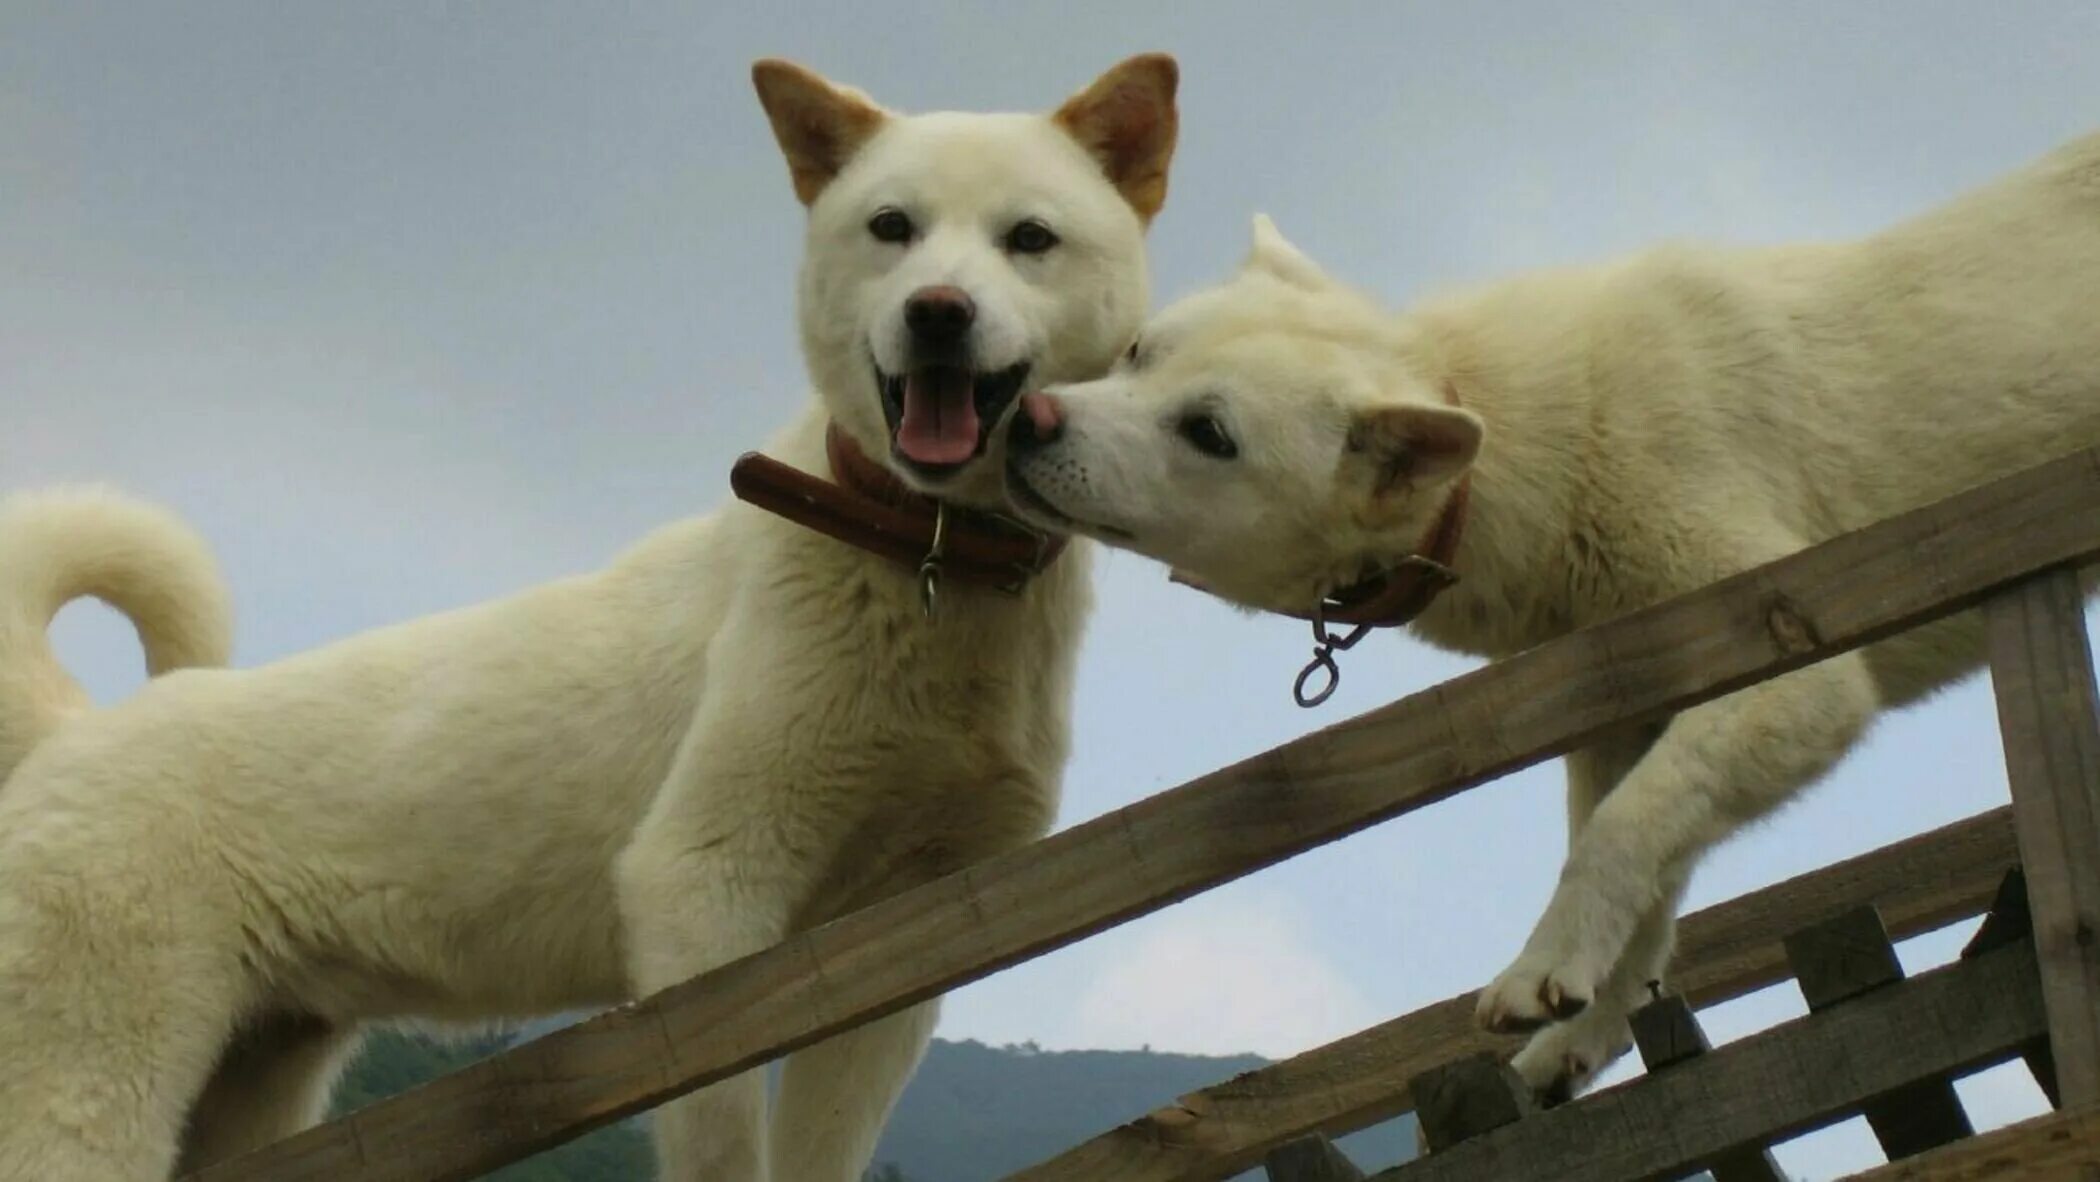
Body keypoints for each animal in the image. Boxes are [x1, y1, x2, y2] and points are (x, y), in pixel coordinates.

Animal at [0, 53, 1184, 1175]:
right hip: (92, 1073)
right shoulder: (705, 896)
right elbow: (722, 1144)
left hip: (257, 1082)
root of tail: (73, 733)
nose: (937, 311)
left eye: (1030, 239)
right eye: (891, 228)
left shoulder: (911, 932)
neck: (927, 557)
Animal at [995, 129, 2100, 1100]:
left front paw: (1537, 977)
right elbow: (1644, 875)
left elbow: (1617, 833)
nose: (1026, 420)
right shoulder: (1627, 710)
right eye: (1138, 353)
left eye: (1209, 433)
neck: (1527, 453)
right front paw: (1583, 1030)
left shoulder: (1801, 659)